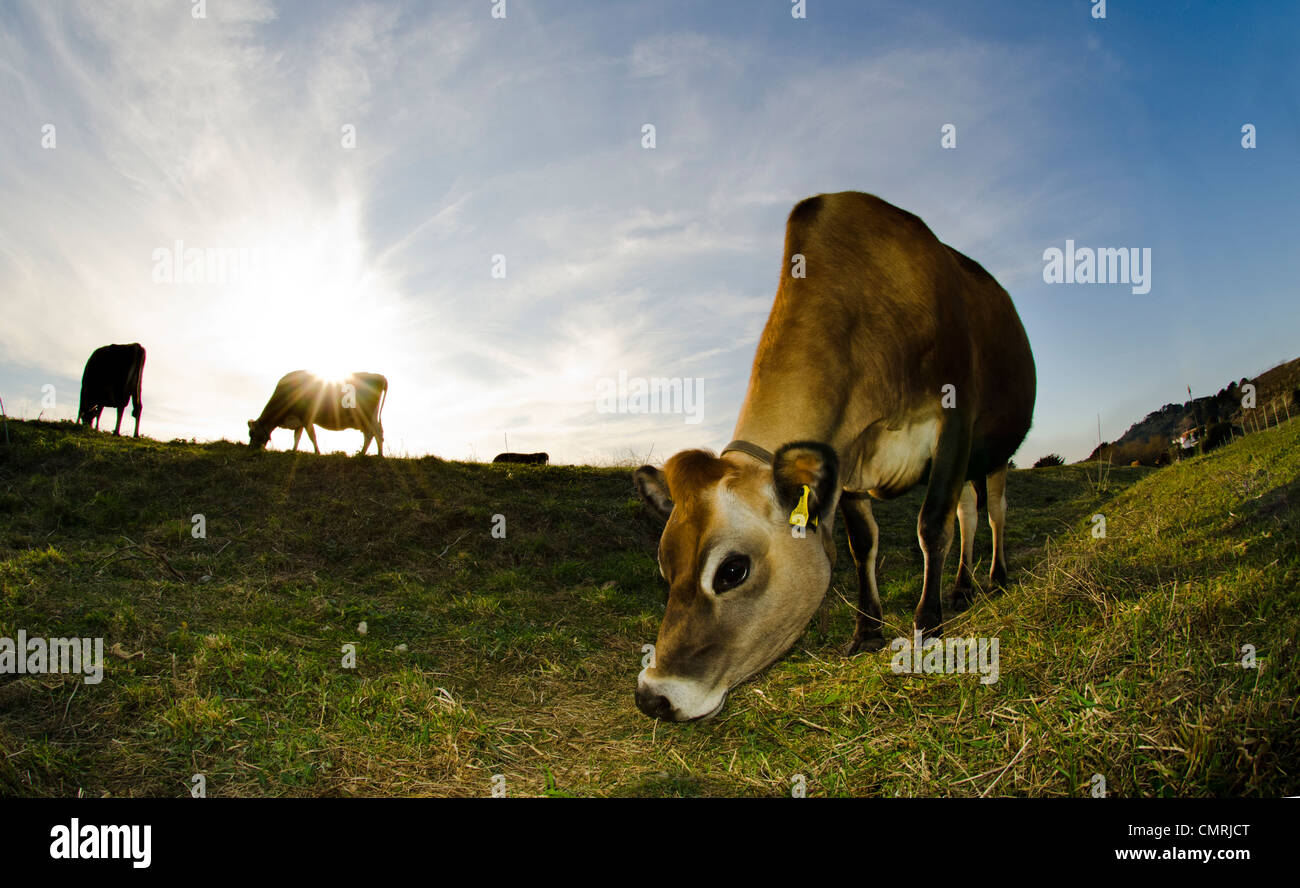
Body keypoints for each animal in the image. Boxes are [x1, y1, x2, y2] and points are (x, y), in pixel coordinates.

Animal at [244, 369, 382, 455]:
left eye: (252, 433)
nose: (251, 449)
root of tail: (378, 376)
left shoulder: (307, 418)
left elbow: (312, 436)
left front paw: (317, 452)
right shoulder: (299, 421)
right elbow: (297, 437)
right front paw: (293, 450)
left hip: (366, 416)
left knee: (370, 434)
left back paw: (362, 454)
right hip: (373, 417)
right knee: (378, 433)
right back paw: (379, 454)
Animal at [631, 195, 1034, 722]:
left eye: (732, 571)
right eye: (664, 566)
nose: (653, 696)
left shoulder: (955, 420)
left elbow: (931, 527)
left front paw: (927, 626)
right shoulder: (848, 466)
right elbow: (865, 544)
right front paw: (868, 632)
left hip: (991, 451)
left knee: (992, 513)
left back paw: (995, 578)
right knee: (967, 512)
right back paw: (962, 587)